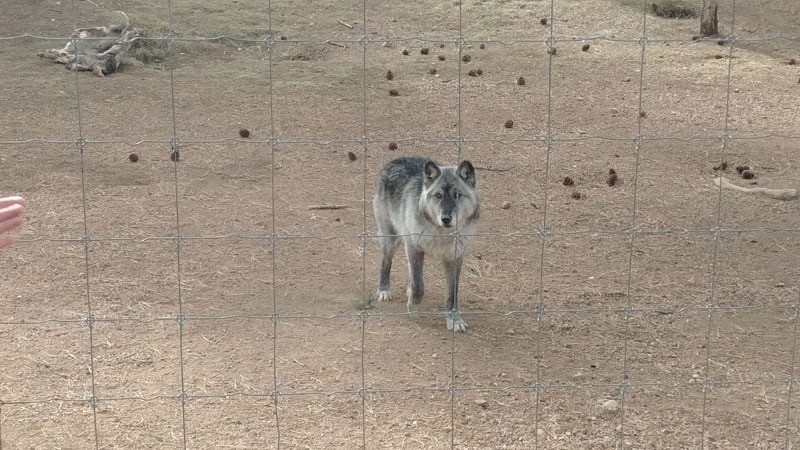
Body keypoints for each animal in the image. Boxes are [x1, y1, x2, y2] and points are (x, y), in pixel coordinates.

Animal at [373, 156, 480, 332]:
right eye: (438, 195)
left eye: (457, 195)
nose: (446, 218)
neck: (442, 233)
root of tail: (397, 159)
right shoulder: (414, 248)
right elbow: (418, 286)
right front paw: (413, 307)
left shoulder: (455, 257)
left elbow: (452, 293)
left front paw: (454, 320)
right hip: (391, 239)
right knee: (386, 262)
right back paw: (384, 291)